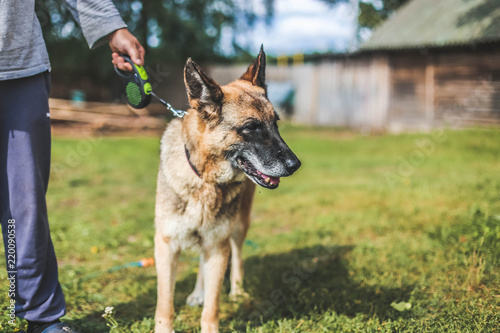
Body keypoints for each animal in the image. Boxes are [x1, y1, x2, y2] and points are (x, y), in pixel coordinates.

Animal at [154, 47, 300, 332]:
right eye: (251, 127)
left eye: (276, 124)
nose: (295, 165)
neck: (205, 181)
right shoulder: (166, 246)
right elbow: (165, 305)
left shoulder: (218, 247)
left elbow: (212, 308)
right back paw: (198, 292)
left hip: (237, 227)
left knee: (237, 256)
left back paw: (237, 290)